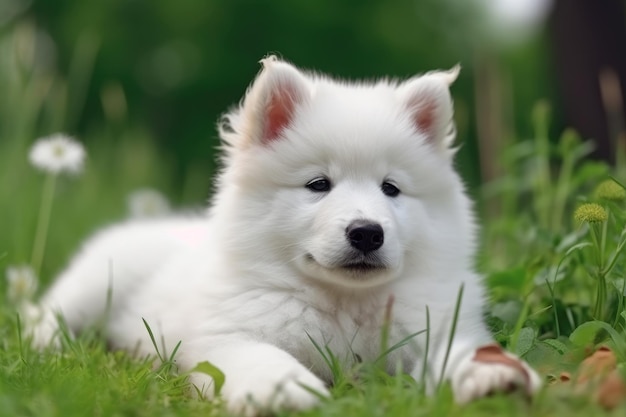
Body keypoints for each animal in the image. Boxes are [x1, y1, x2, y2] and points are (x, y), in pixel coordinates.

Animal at [29, 56, 540, 416]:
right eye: (318, 184)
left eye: (391, 188)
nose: (366, 233)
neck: (342, 301)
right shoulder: (227, 337)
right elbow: (265, 359)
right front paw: (287, 392)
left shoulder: (436, 326)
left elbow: (463, 352)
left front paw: (493, 377)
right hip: (97, 280)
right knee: (47, 312)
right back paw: (45, 345)